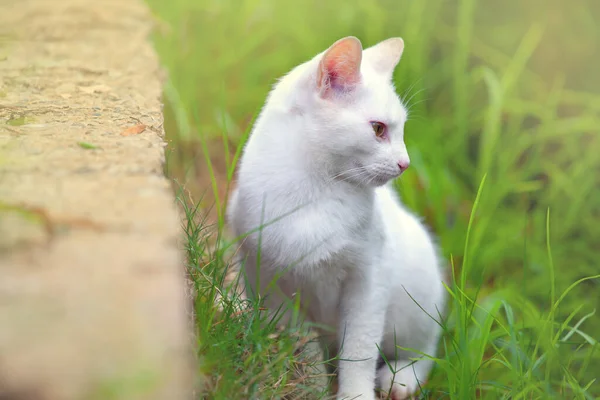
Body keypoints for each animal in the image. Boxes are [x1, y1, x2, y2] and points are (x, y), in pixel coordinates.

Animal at [227, 36, 442, 398]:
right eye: (378, 129)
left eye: (400, 130)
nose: (405, 163)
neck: (315, 193)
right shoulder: (275, 289)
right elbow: (305, 348)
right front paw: (313, 388)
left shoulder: (369, 282)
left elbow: (359, 351)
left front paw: (355, 393)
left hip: (417, 302)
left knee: (425, 350)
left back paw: (401, 378)